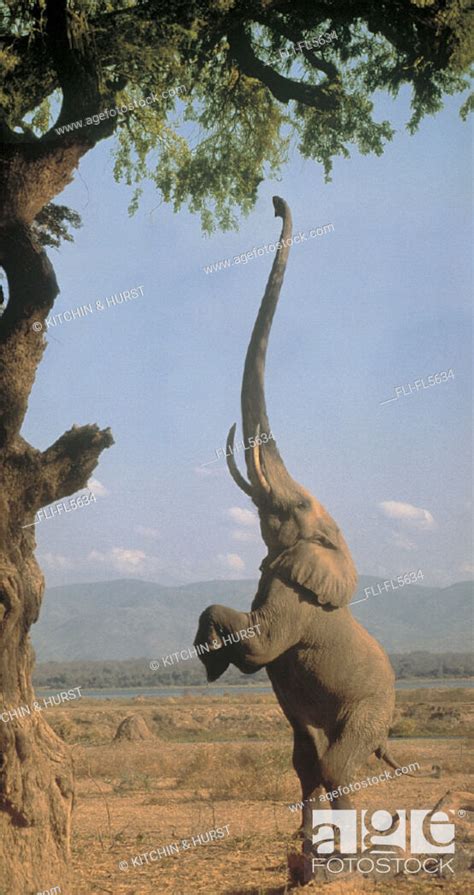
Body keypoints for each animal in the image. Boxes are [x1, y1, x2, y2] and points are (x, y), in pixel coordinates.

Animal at [194, 196, 406, 840]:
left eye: (290, 508)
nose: (275, 202)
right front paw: (209, 662)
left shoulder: (296, 595)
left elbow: (262, 646)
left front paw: (213, 656)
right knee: (307, 763)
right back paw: (309, 847)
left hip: (371, 706)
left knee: (337, 766)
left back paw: (343, 853)